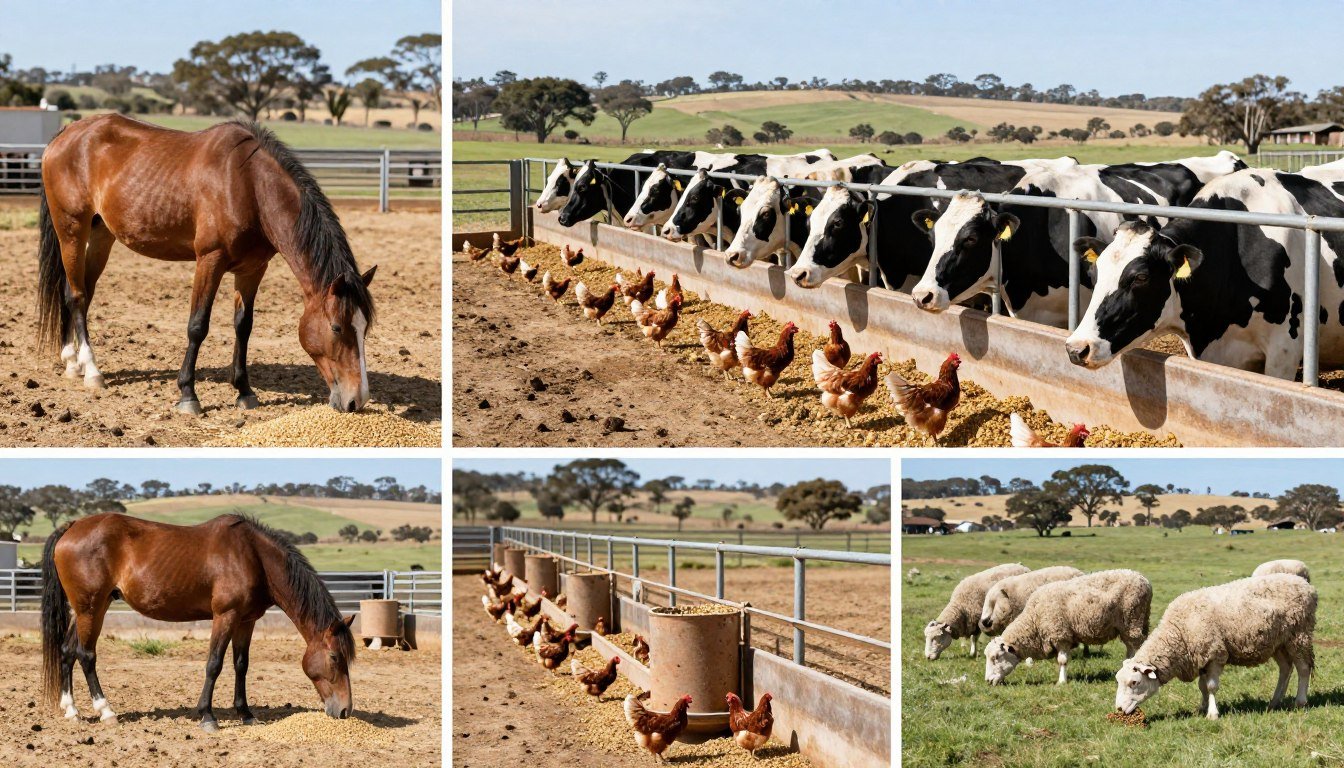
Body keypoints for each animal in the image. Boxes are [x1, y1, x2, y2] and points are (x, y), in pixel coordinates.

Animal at [36, 114, 377, 415]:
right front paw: (188, 394)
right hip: (71, 228)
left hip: (101, 233)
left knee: (78, 291)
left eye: (364, 328)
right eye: (336, 327)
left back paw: (72, 361)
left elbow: (244, 326)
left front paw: (244, 391)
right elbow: (198, 325)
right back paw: (92, 370)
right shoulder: (209, 261)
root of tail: (66, 134)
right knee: (77, 295)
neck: (248, 185)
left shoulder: (253, 269)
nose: (356, 400)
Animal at [41, 513, 356, 731]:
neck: (253, 557)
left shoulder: (246, 621)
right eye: (334, 657)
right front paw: (207, 716)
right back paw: (105, 711)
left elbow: (241, 665)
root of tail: (72, 526)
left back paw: (72, 711)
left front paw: (246, 714)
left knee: (67, 652)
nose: (345, 711)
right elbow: (214, 664)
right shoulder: (225, 616)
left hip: (91, 608)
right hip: (90, 609)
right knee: (86, 655)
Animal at [984, 569, 1151, 686]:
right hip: (1131, 626)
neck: (1034, 620)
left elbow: (1062, 660)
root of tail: (1144, 580)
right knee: (1130, 649)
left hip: (1133, 620)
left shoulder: (1061, 635)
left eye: (995, 658)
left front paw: (1062, 681)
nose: (988, 681)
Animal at [1115, 573, 1315, 720]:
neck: (1179, 632)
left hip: (1299, 635)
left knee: (1303, 668)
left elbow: (1211, 687)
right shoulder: (1201, 657)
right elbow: (1202, 687)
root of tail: (1306, 585)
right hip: (1279, 642)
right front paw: (1202, 708)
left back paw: (1300, 701)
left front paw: (1212, 714)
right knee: (1285, 668)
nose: (1118, 709)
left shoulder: (1214, 655)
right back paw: (1274, 702)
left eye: (1135, 682)